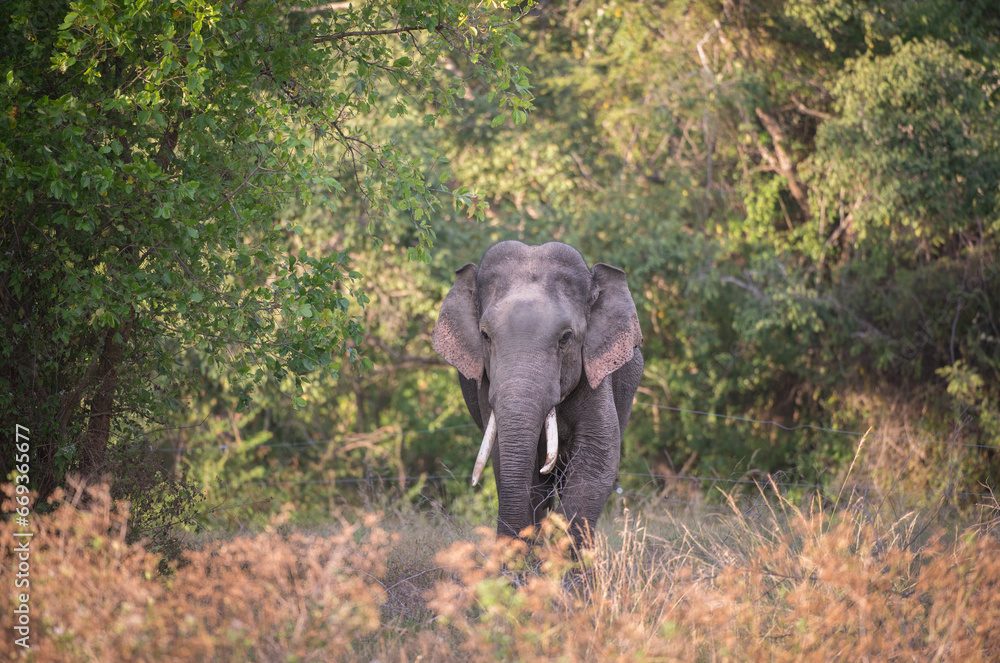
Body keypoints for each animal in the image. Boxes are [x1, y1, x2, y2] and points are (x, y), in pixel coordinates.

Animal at [432, 240, 643, 546]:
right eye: (485, 336)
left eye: (566, 337)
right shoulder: (485, 383)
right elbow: (508, 460)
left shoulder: (595, 375)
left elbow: (599, 454)